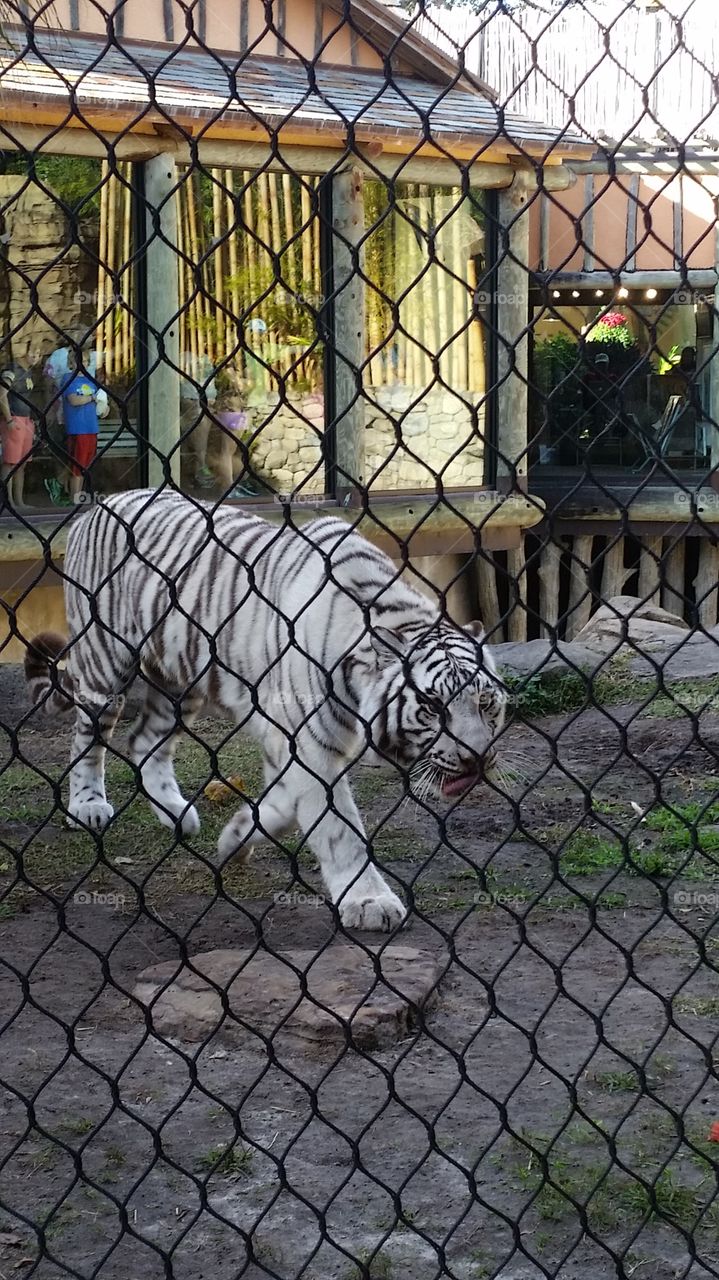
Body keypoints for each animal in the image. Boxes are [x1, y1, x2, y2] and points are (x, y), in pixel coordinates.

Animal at [25, 489, 507, 931]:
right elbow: (339, 830)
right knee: (88, 738)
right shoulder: (308, 745)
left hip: (180, 683)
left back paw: (178, 815)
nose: (477, 758)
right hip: (105, 663)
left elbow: (283, 807)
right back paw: (87, 806)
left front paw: (236, 838)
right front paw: (370, 902)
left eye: (485, 703)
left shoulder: (287, 742)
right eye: (432, 706)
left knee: (144, 742)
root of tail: (96, 505)